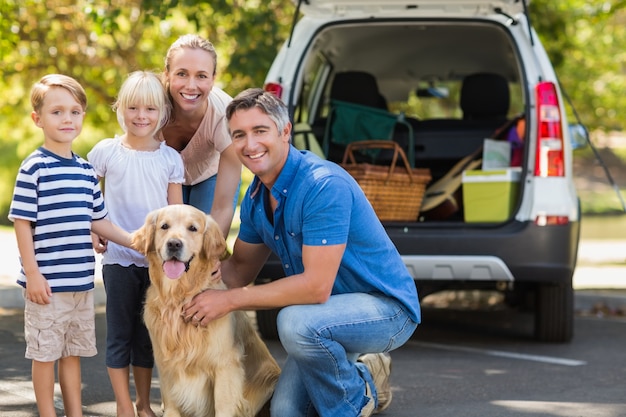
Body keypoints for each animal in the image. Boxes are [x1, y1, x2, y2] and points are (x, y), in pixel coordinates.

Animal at [132, 205, 280, 416]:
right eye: (164, 226)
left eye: (193, 228)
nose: (174, 244)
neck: (179, 297)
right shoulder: (165, 365)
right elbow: (171, 404)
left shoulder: (225, 365)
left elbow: (223, 407)